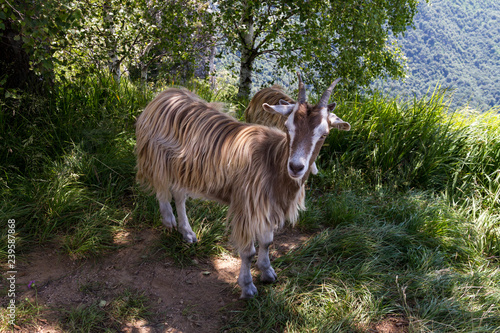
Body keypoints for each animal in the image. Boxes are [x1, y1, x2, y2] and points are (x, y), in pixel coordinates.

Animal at [135, 73, 350, 298]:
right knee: (161, 186)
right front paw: (247, 286)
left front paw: (267, 272)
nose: (296, 167)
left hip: (183, 168)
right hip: (157, 156)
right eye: (287, 127)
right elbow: (248, 252)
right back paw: (168, 220)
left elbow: (267, 241)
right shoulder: (247, 207)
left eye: (324, 134)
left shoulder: (269, 206)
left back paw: (187, 232)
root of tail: (167, 93)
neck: (272, 160)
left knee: (178, 194)